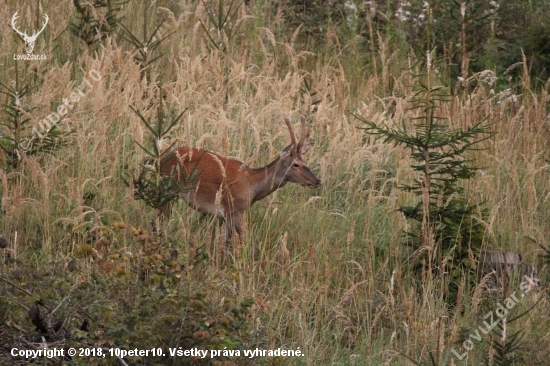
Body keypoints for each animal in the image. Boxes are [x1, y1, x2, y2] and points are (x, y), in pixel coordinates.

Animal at [162, 114, 322, 240]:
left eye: (305, 162)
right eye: (296, 164)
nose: (317, 181)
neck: (252, 185)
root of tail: (163, 157)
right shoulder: (233, 210)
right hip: (169, 191)